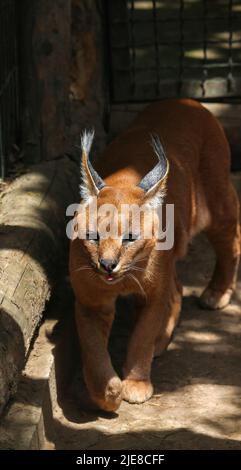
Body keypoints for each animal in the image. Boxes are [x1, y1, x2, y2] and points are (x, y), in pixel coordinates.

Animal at [68, 99, 240, 412]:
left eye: (129, 238)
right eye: (93, 237)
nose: (107, 265)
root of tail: (188, 101)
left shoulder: (152, 295)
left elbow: (141, 336)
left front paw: (135, 383)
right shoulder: (90, 300)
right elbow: (93, 348)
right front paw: (107, 393)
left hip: (218, 205)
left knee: (233, 240)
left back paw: (217, 292)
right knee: (178, 287)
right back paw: (164, 337)